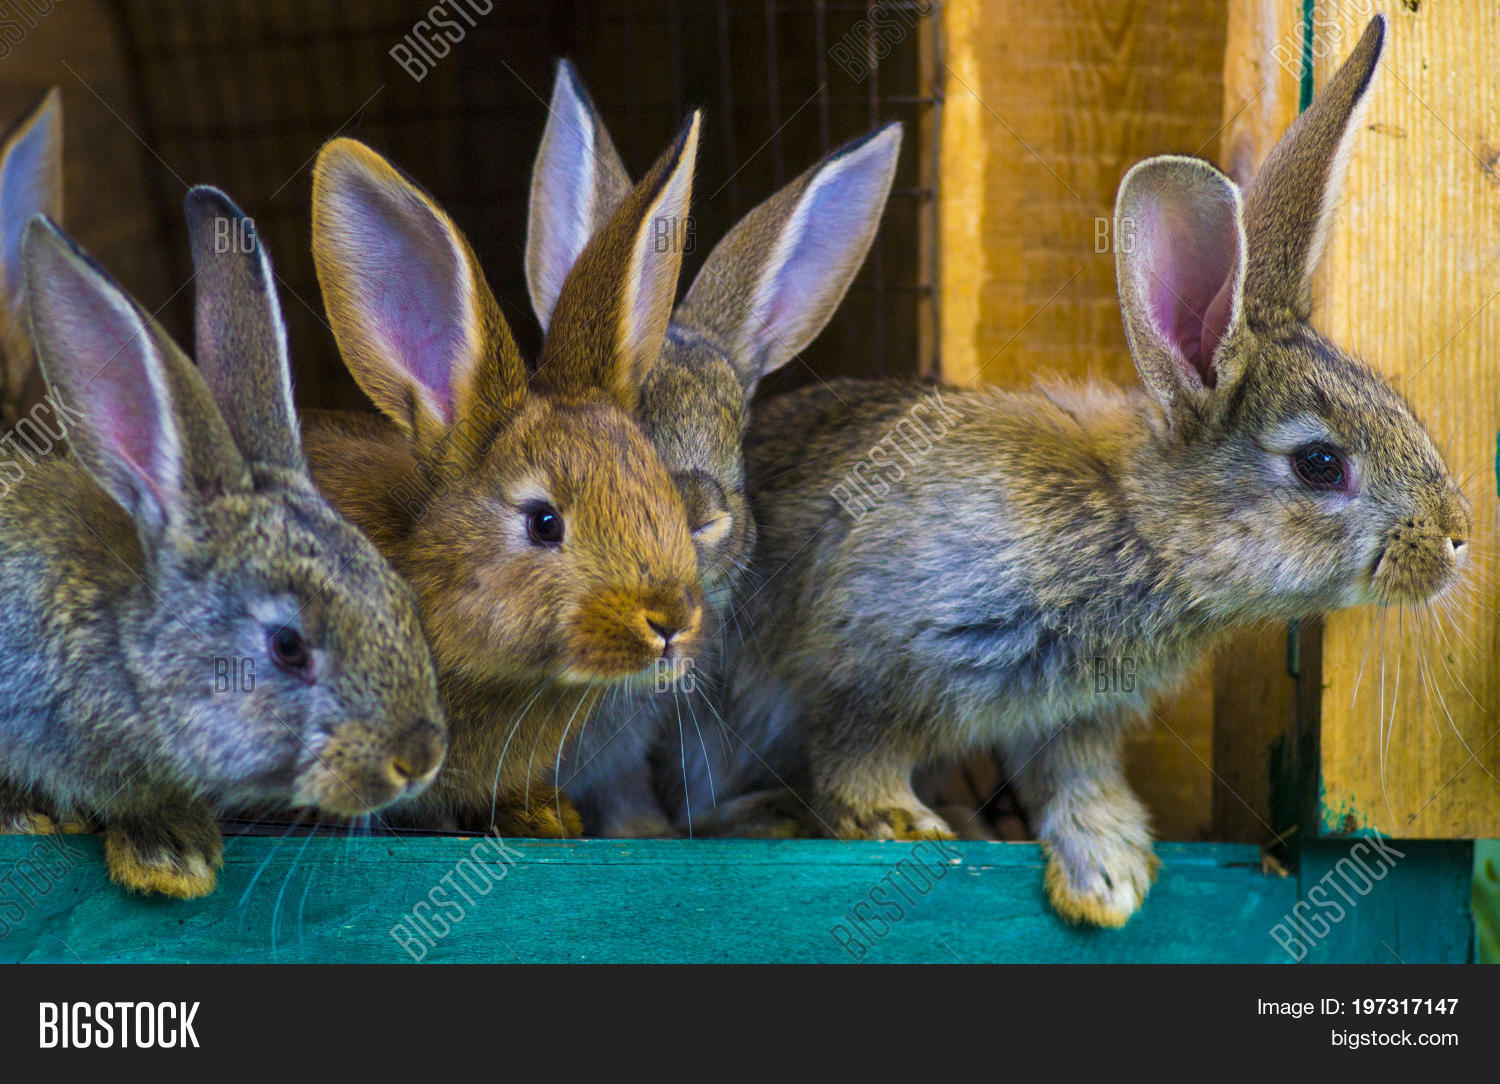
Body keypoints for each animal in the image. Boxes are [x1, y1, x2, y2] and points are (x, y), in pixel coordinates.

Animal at [0, 187, 447, 898]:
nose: (419, 759)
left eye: (400, 597)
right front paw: (165, 855)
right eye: (287, 646)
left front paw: (173, 848)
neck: (128, 653)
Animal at [698, 15, 1470, 926]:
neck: (1140, 527)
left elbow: (1074, 775)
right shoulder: (874, 655)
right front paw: (898, 824)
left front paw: (1109, 875)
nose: (1456, 538)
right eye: (1320, 464)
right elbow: (858, 745)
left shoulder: (1071, 715)